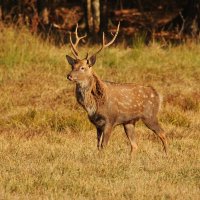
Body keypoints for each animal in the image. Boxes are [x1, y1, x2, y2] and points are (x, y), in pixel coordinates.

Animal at [66, 23, 167, 155]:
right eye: (73, 66)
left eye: (83, 67)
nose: (69, 75)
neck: (93, 105)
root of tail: (158, 95)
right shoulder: (97, 124)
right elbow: (98, 145)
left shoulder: (110, 120)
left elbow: (104, 145)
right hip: (129, 122)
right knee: (134, 145)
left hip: (150, 115)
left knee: (163, 133)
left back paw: (167, 155)